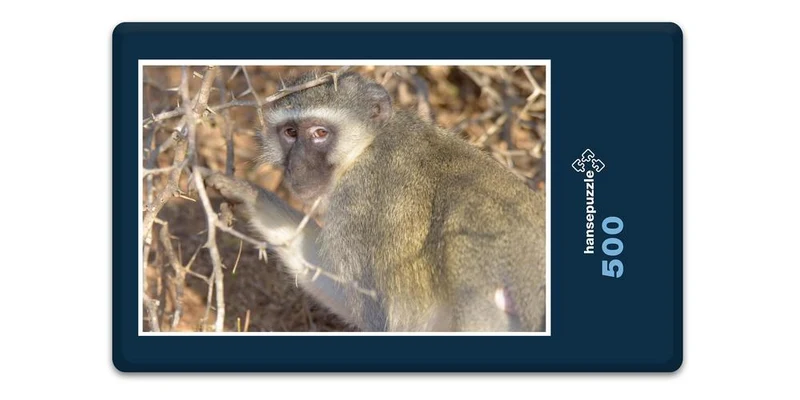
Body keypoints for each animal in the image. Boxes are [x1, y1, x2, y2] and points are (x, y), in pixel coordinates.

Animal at [202, 70, 546, 332]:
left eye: (320, 133)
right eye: (290, 132)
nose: (297, 165)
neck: (365, 147)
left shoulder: (358, 203)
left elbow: (377, 315)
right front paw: (249, 194)